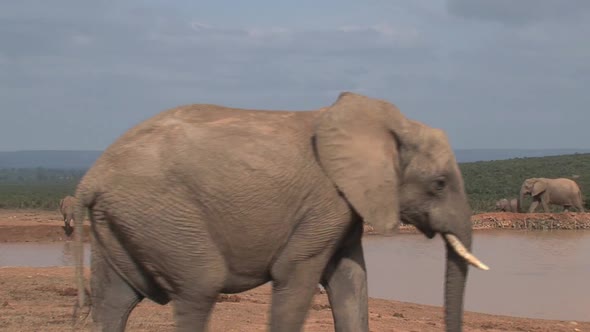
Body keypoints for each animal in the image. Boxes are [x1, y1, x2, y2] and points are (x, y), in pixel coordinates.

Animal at [73, 91, 490, 332]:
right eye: (439, 183)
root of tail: (91, 178)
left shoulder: (345, 208)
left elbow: (351, 280)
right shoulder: (325, 202)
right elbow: (296, 276)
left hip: (123, 222)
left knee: (115, 300)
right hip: (161, 214)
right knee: (200, 287)